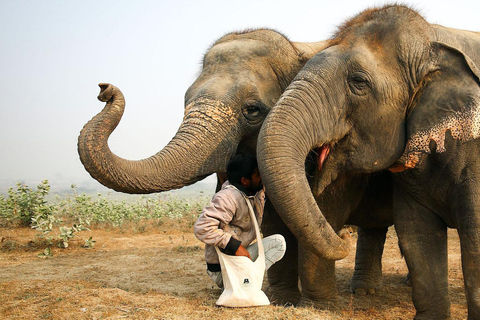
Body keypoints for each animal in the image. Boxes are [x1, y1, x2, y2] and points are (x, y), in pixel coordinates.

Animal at [77, 29, 394, 308]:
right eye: (185, 103)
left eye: (252, 110)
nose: (103, 89)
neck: (297, 49)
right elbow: (271, 220)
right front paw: (283, 301)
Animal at [258, 3, 480, 318]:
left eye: (358, 82)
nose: (343, 238)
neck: (432, 40)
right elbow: (417, 234)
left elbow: (475, 234)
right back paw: (366, 291)